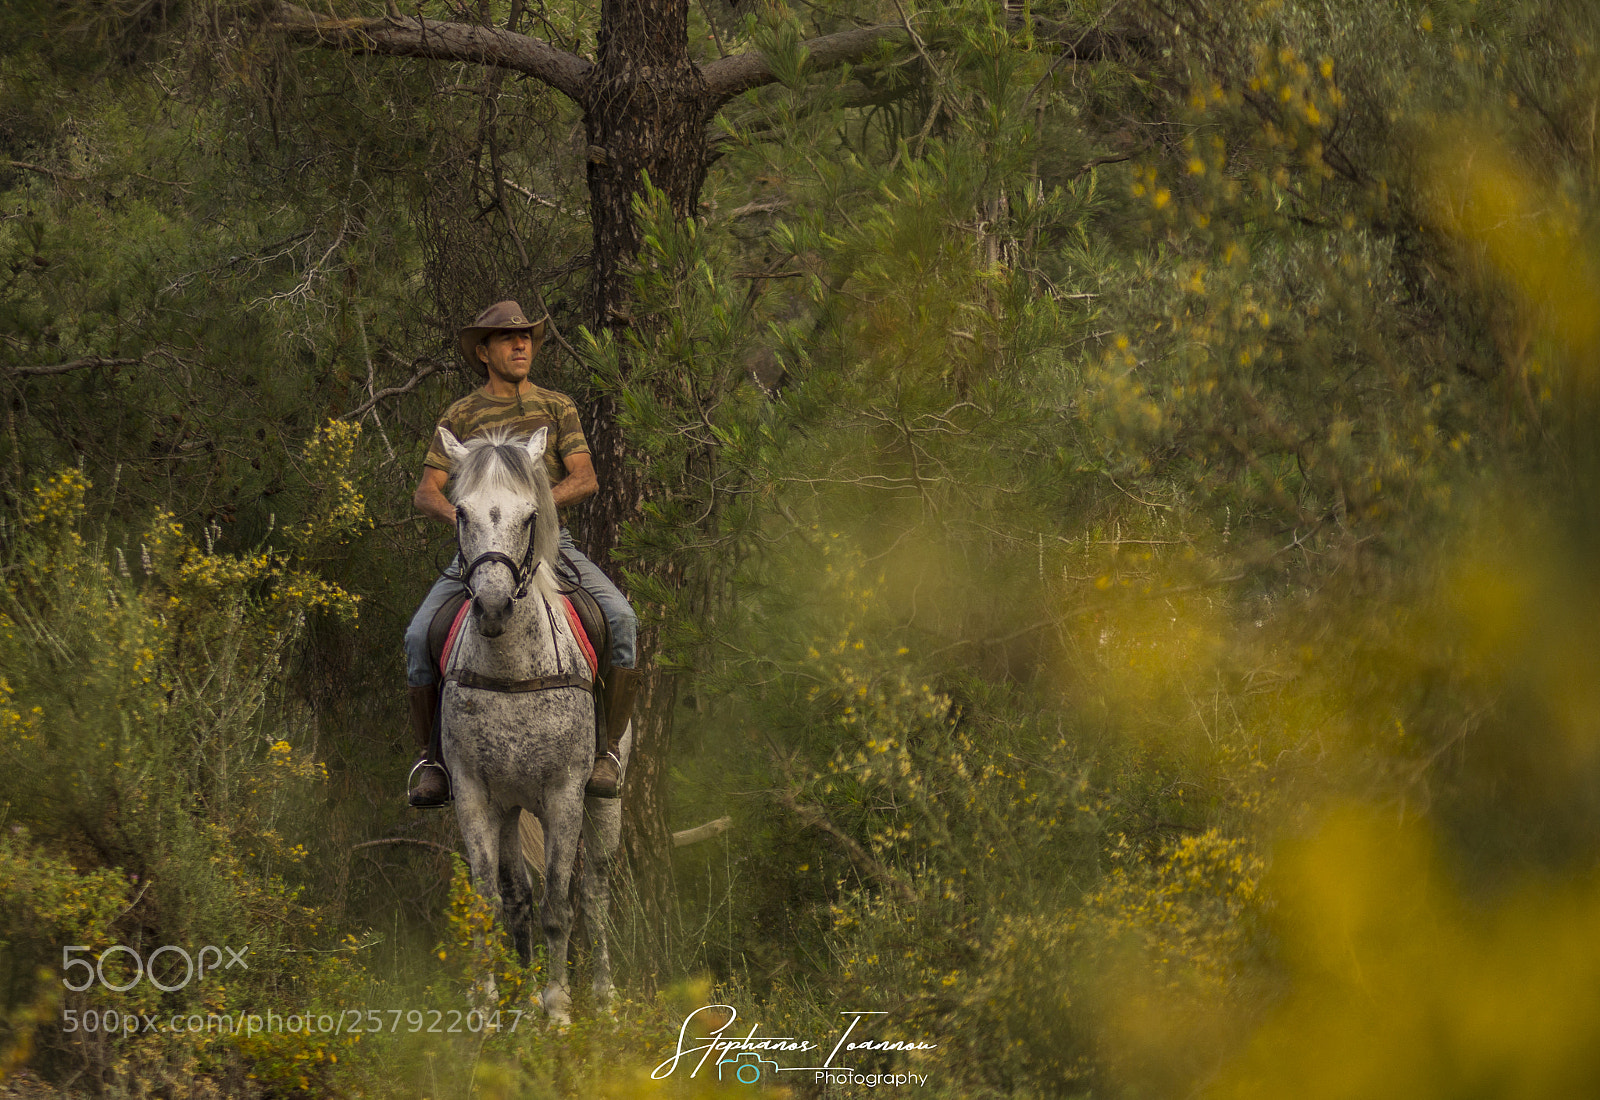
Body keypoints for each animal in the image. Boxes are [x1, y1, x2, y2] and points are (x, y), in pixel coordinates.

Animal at [436, 425, 631, 1025]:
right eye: (461, 513)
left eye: (530, 516)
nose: (493, 607)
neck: (510, 672)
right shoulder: (474, 795)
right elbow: (490, 899)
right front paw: (486, 1006)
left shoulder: (564, 793)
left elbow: (558, 905)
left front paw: (559, 1009)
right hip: (509, 807)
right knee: (518, 894)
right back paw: (521, 996)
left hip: (603, 799)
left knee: (593, 892)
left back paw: (604, 999)